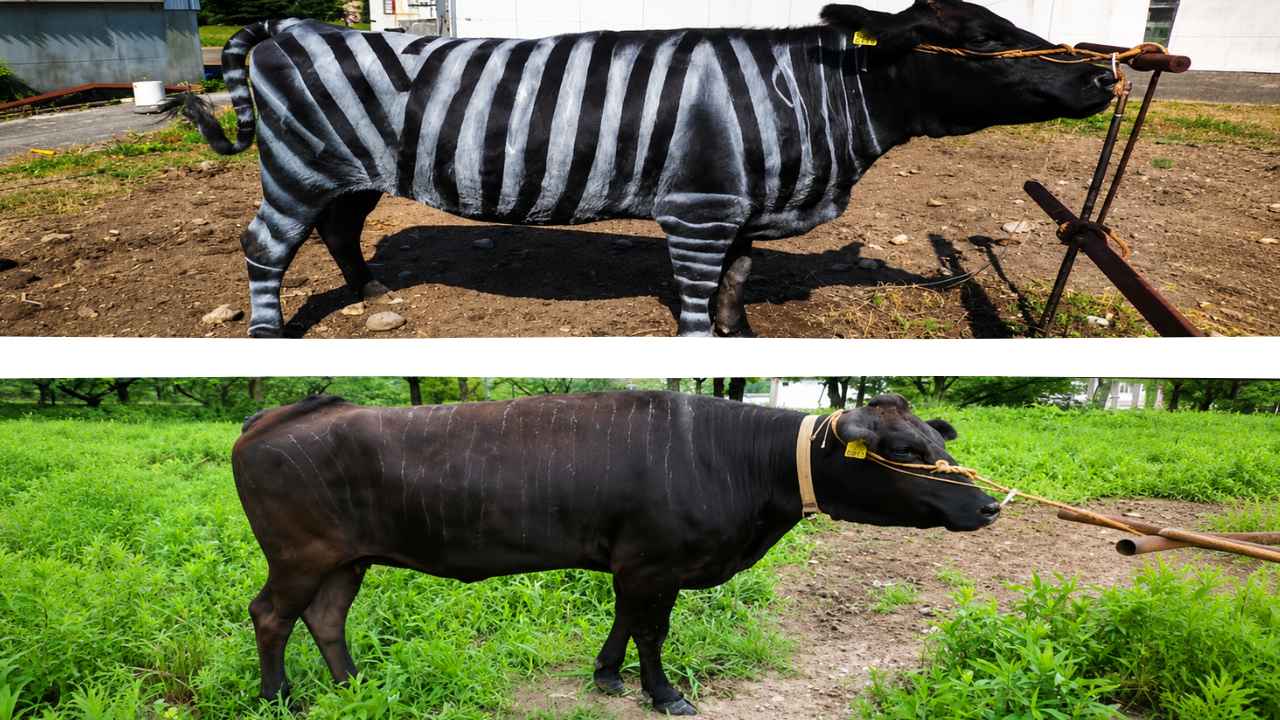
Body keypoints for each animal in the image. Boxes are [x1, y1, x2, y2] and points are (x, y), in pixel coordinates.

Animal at [175, 0, 1118, 339]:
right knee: (265, 248)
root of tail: (289, 24)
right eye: (983, 40)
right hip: (298, 167)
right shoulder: (697, 208)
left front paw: (741, 339)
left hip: (351, 170)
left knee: (341, 228)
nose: (1107, 76)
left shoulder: (738, 205)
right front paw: (705, 345)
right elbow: (700, 299)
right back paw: (269, 336)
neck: (808, 98)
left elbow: (739, 283)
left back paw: (371, 292)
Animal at [231, 391, 1000, 714]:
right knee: (271, 616)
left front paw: (606, 676)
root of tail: (282, 413)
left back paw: (352, 687)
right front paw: (663, 694)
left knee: (326, 618)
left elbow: (625, 622)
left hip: (345, 558)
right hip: (299, 554)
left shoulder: (634, 564)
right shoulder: (655, 562)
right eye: (905, 452)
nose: (990, 505)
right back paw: (279, 699)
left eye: (936, 442)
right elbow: (652, 632)